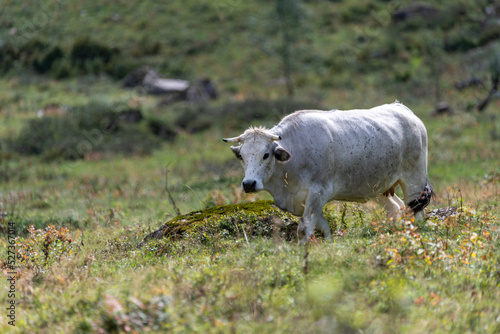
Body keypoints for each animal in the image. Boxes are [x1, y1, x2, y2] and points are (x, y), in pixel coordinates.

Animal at [224, 102, 434, 243]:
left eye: (266, 154)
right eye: (241, 156)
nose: (249, 184)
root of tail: (402, 109)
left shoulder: (318, 193)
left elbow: (304, 229)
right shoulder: (303, 201)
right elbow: (323, 228)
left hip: (414, 179)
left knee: (416, 209)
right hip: (379, 187)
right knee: (396, 208)